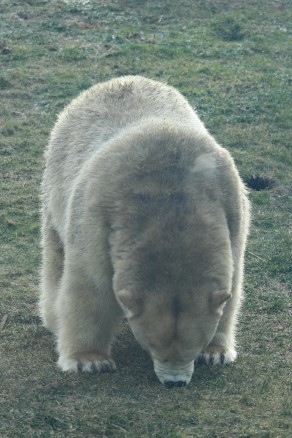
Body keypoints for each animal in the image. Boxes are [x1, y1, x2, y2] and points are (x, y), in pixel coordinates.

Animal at [40, 76, 250, 386]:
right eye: (153, 347)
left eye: (194, 347)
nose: (175, 383)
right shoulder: (97, 214)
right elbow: (89, 285)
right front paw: (89, 360)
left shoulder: (231, 208)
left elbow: (232, 288)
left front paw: (216, 353)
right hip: (58, 178)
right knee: (56, 255)